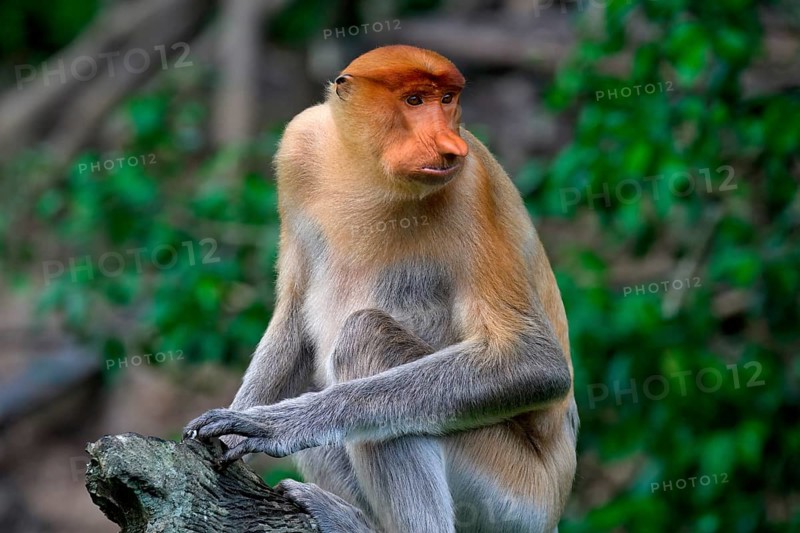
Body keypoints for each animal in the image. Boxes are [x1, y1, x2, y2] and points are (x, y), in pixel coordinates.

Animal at [184, 44, 578, 533]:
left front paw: (275, 426)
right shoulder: (298, 147)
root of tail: (555, 501)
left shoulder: (471, 186)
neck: (369, 171)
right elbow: (294, 315)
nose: (449, 145)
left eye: (447, 99)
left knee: (366, 339)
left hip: (515, 496)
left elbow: (535, 363)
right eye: (414, 100)